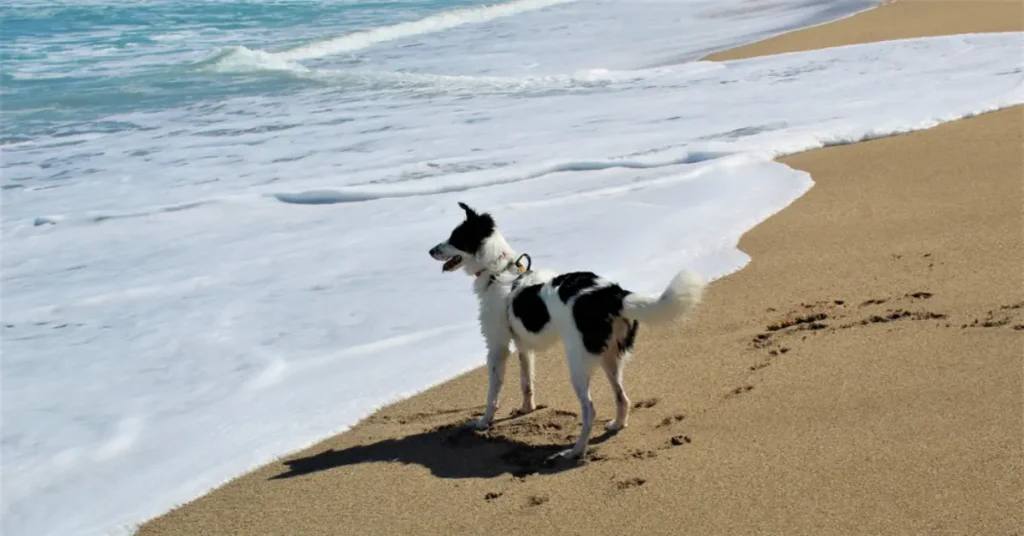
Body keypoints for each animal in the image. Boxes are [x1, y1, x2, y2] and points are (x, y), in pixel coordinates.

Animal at [428, 203, 708, 459]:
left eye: (454, 238)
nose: (430, 250)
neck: (500, 271)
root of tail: (611, 294)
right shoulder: (523, 346)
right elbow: (526, 381)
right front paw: (527, 409)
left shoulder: (497, 347)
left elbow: (492, 393)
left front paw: (483, 422)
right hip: (610, 357)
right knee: (622, 397)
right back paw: (616, 425)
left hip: (578, 362)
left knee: (590, 410)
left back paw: (576, 451)